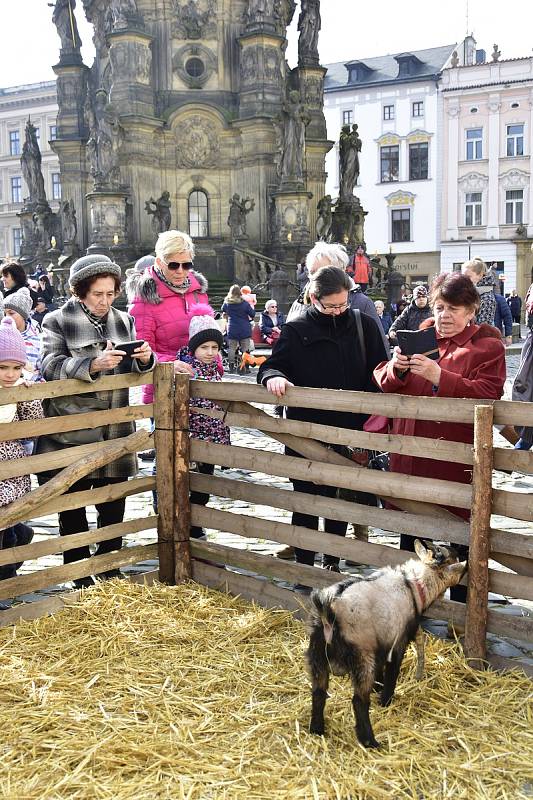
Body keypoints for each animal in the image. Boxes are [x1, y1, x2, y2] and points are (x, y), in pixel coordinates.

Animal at [304, 540, 466, 748]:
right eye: (452, 556)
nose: (463, 551)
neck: (414, 586)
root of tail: (328, 615)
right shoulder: (398, 642)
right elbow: (392, 673)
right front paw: (385, 700)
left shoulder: (382, 643)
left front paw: (378, 688)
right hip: (362, 658)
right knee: (358, 701)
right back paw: (369, 741)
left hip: (317, 656)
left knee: (318, 693)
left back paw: (317, 729)